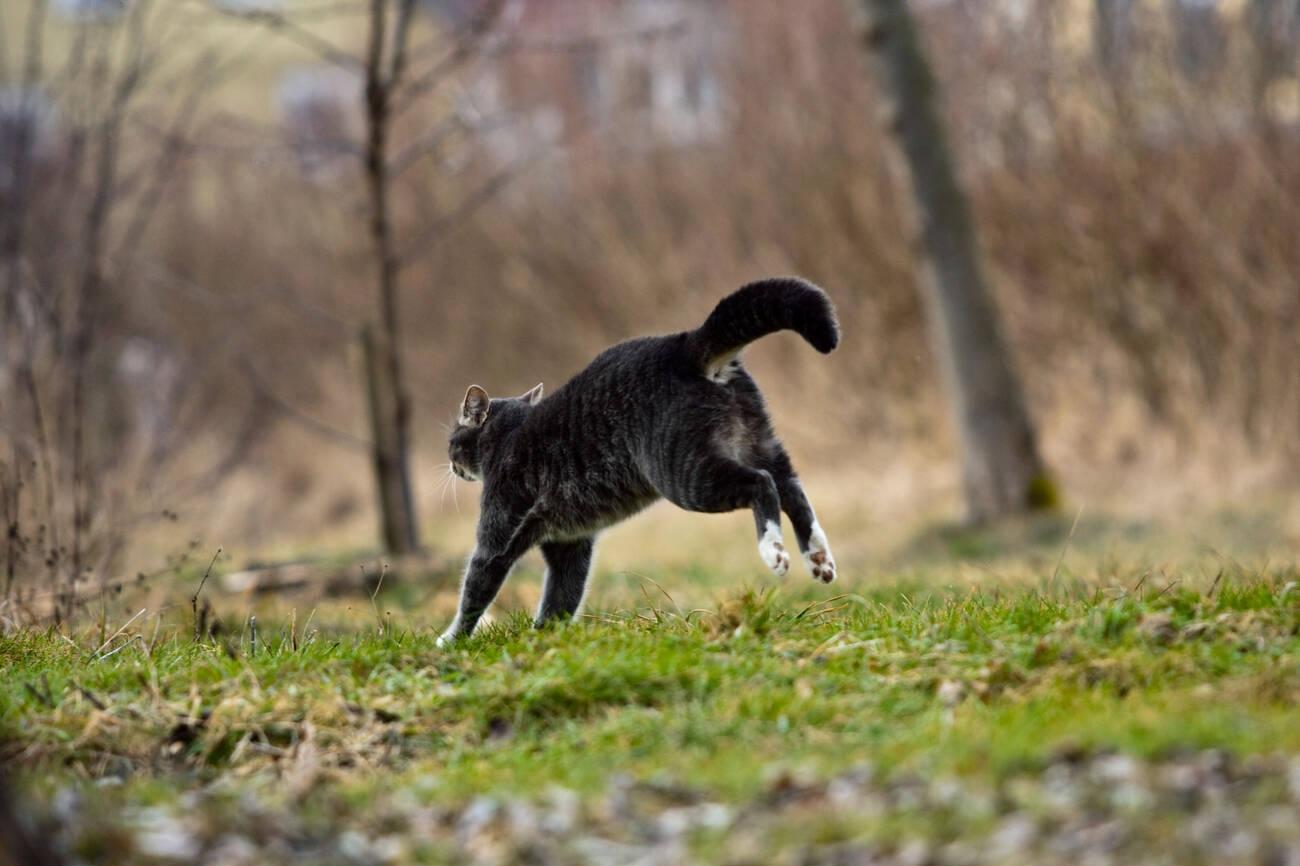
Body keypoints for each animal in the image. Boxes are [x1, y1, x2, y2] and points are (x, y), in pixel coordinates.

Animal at [439, 274, 842, 639]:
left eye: (452, 439)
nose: (451, 464)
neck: (507, 435)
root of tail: (686, 344)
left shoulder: (500, 528)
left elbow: (477, 587)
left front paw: (450, 641)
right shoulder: (570, 543)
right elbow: (562, 596)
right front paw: (545, 637)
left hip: (686, 474)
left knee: (761, 483)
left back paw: (774, 551)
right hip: (759, 440)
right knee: (791, 486)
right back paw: (818, 558)